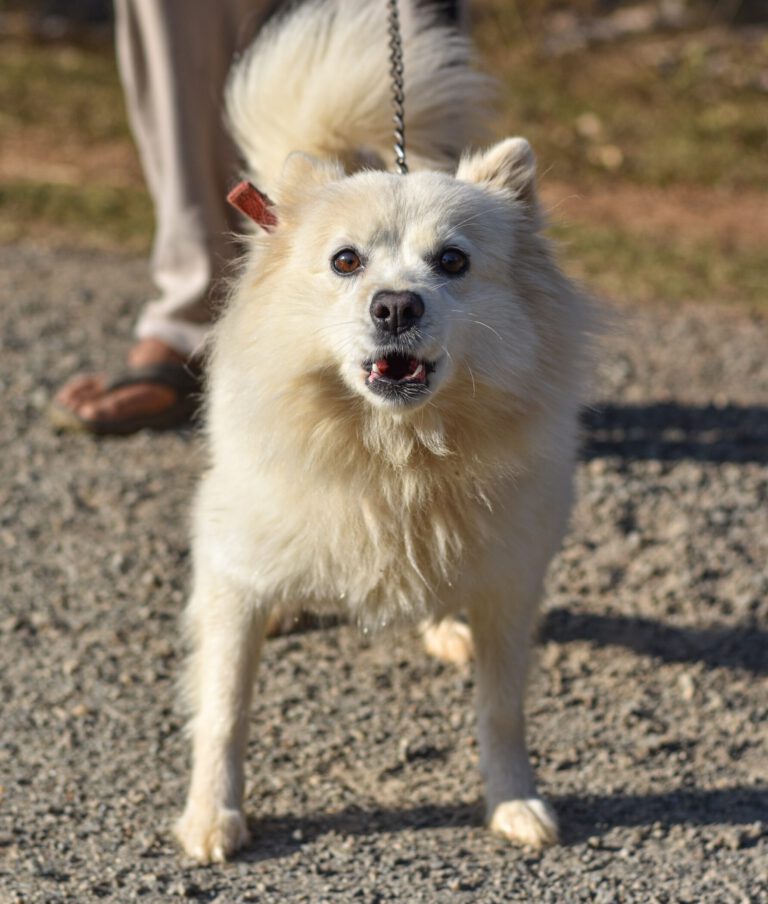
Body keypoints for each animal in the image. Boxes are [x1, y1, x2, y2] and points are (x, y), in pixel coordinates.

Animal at [177, 0, 592, 860]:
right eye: (345, 261)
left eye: (453, 262)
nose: (396, 305)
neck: (397, 458)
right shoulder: (231, 579)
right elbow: (224, 710)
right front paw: (211, 818)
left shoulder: (510, 580)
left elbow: (502, 712)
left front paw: (515, 804)